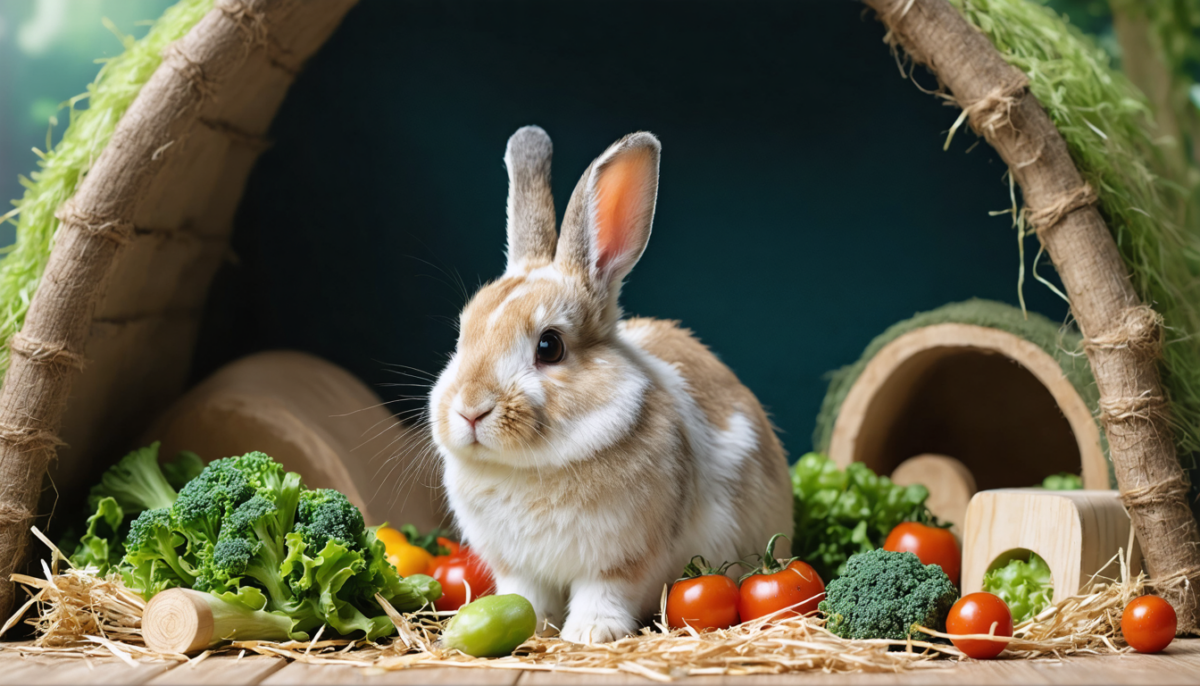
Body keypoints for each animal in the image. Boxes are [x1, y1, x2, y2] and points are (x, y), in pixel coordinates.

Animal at [428, 126, 794, 644]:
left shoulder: (622, 561)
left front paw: (590, 634)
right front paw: (535, 629)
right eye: (463, 334)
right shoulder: (518, 568)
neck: (533, 467)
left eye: (550, 347)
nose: (469, 410)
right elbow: (526, 597)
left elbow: (603, 593)